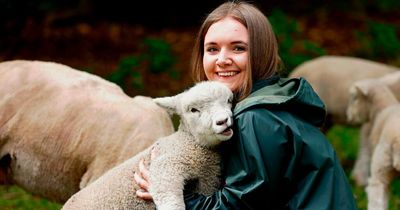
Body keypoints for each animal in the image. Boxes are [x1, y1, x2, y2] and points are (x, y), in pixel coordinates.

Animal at [62, 80, 234, 210]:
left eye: (229, 101)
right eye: (193, 110)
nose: (222, 121)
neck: (190, 143)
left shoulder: (208, 180)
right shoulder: (170, 162)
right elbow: (165, 191)